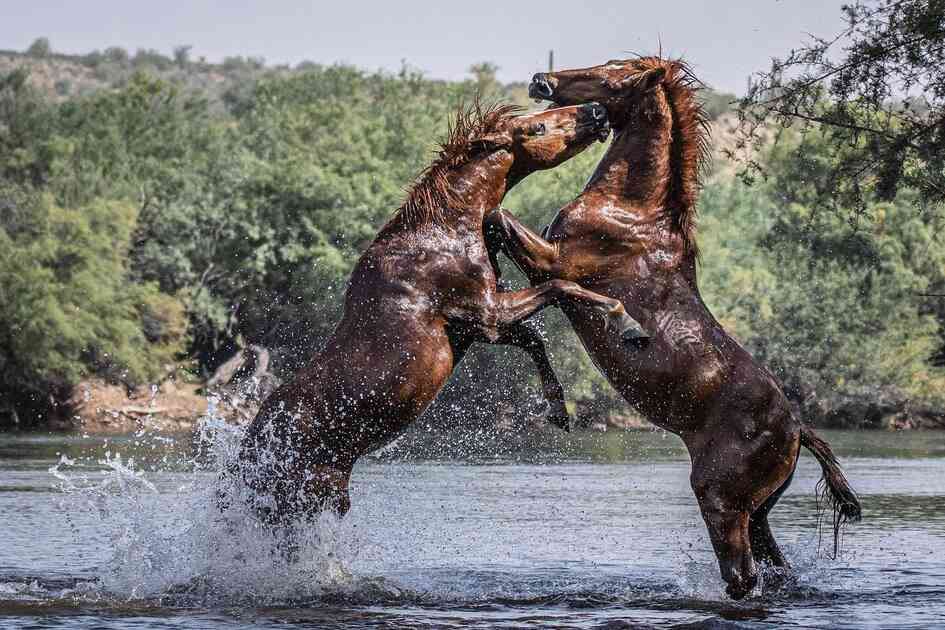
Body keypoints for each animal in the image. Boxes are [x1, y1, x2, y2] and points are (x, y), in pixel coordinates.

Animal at [235, 101, 647, 525]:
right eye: (538, 128)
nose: (596, 111)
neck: (450, 230)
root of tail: (250, 457)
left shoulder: (477, 327)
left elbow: (534, 339)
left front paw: (559, 410)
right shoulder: (486, 312)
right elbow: (561, 288)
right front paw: (628, 322)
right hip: (306, 499)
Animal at [484, 57, 862, 599]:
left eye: (611, 73)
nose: (542, 80)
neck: (630, 209)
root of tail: (796, 429)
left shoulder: (551, 260)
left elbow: (497, 218)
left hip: (720, 502)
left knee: (742, 577)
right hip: (757, 513)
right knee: (776, 569)